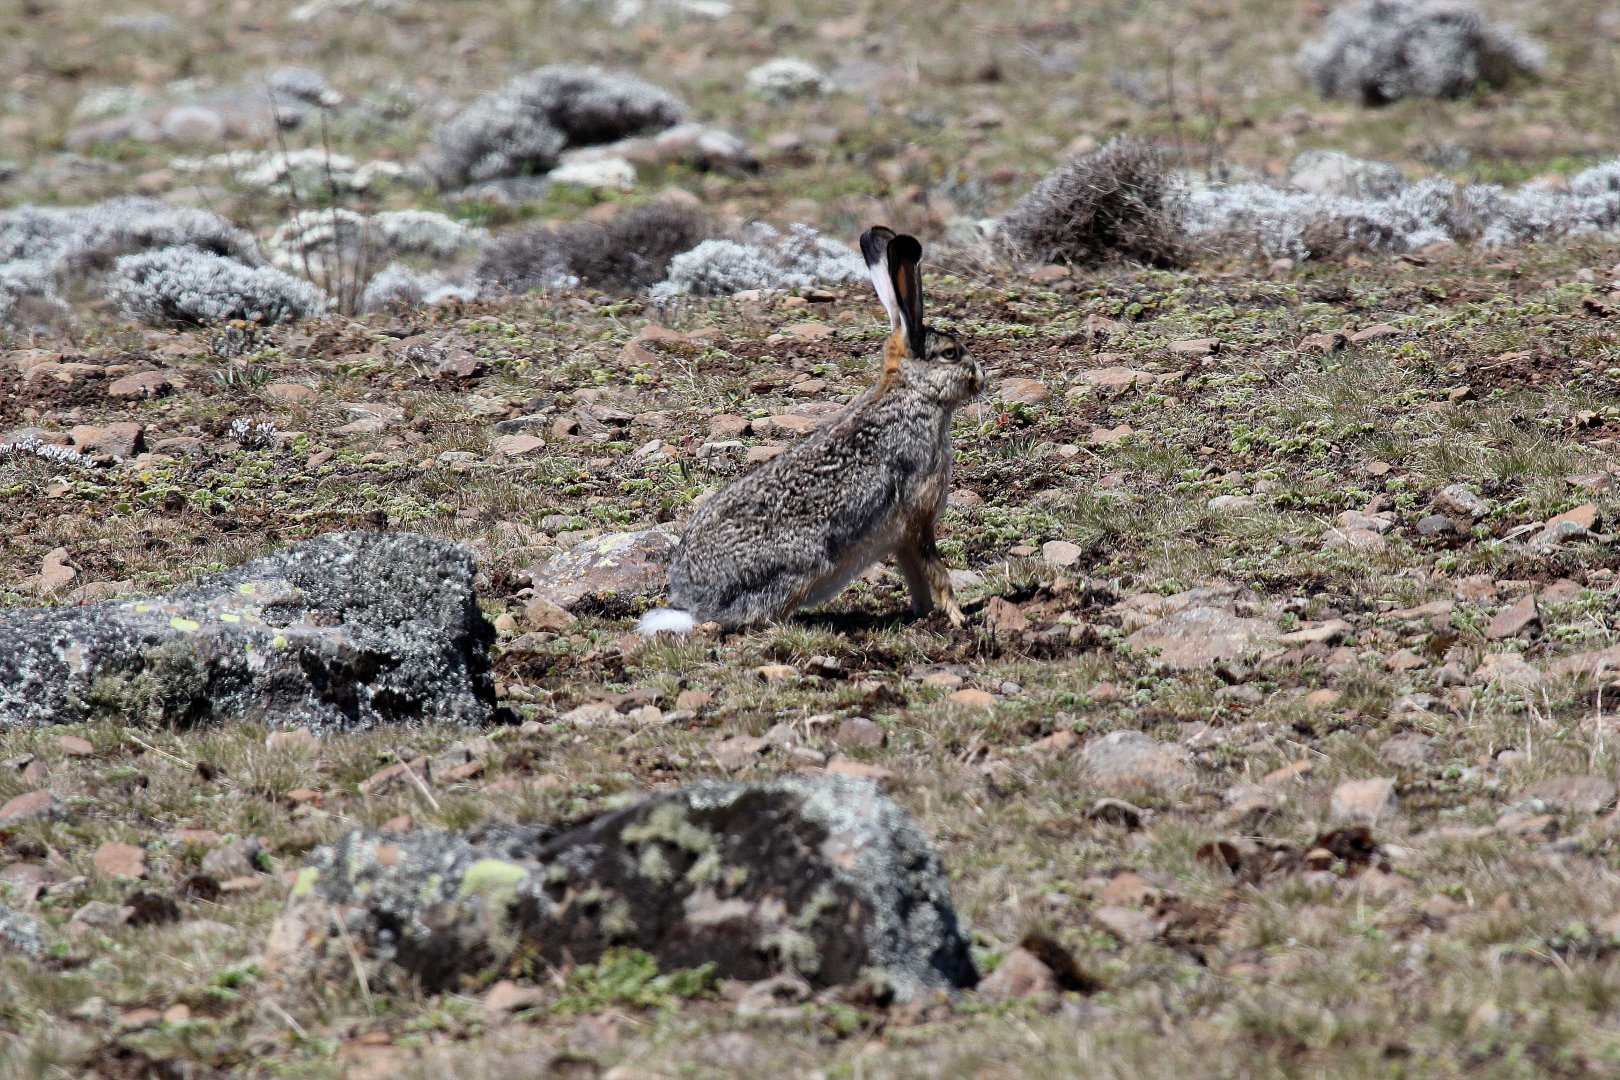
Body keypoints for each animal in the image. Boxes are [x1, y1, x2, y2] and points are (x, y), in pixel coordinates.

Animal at [638, 226, 984, 634]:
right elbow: (937, 572)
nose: (980, 380)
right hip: (803, 567)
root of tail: (692, 606)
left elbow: (916, 577)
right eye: (950, 353)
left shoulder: (900, 536)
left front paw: (924, 615)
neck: (914, 393)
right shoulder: (918, 516)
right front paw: (958, 618)